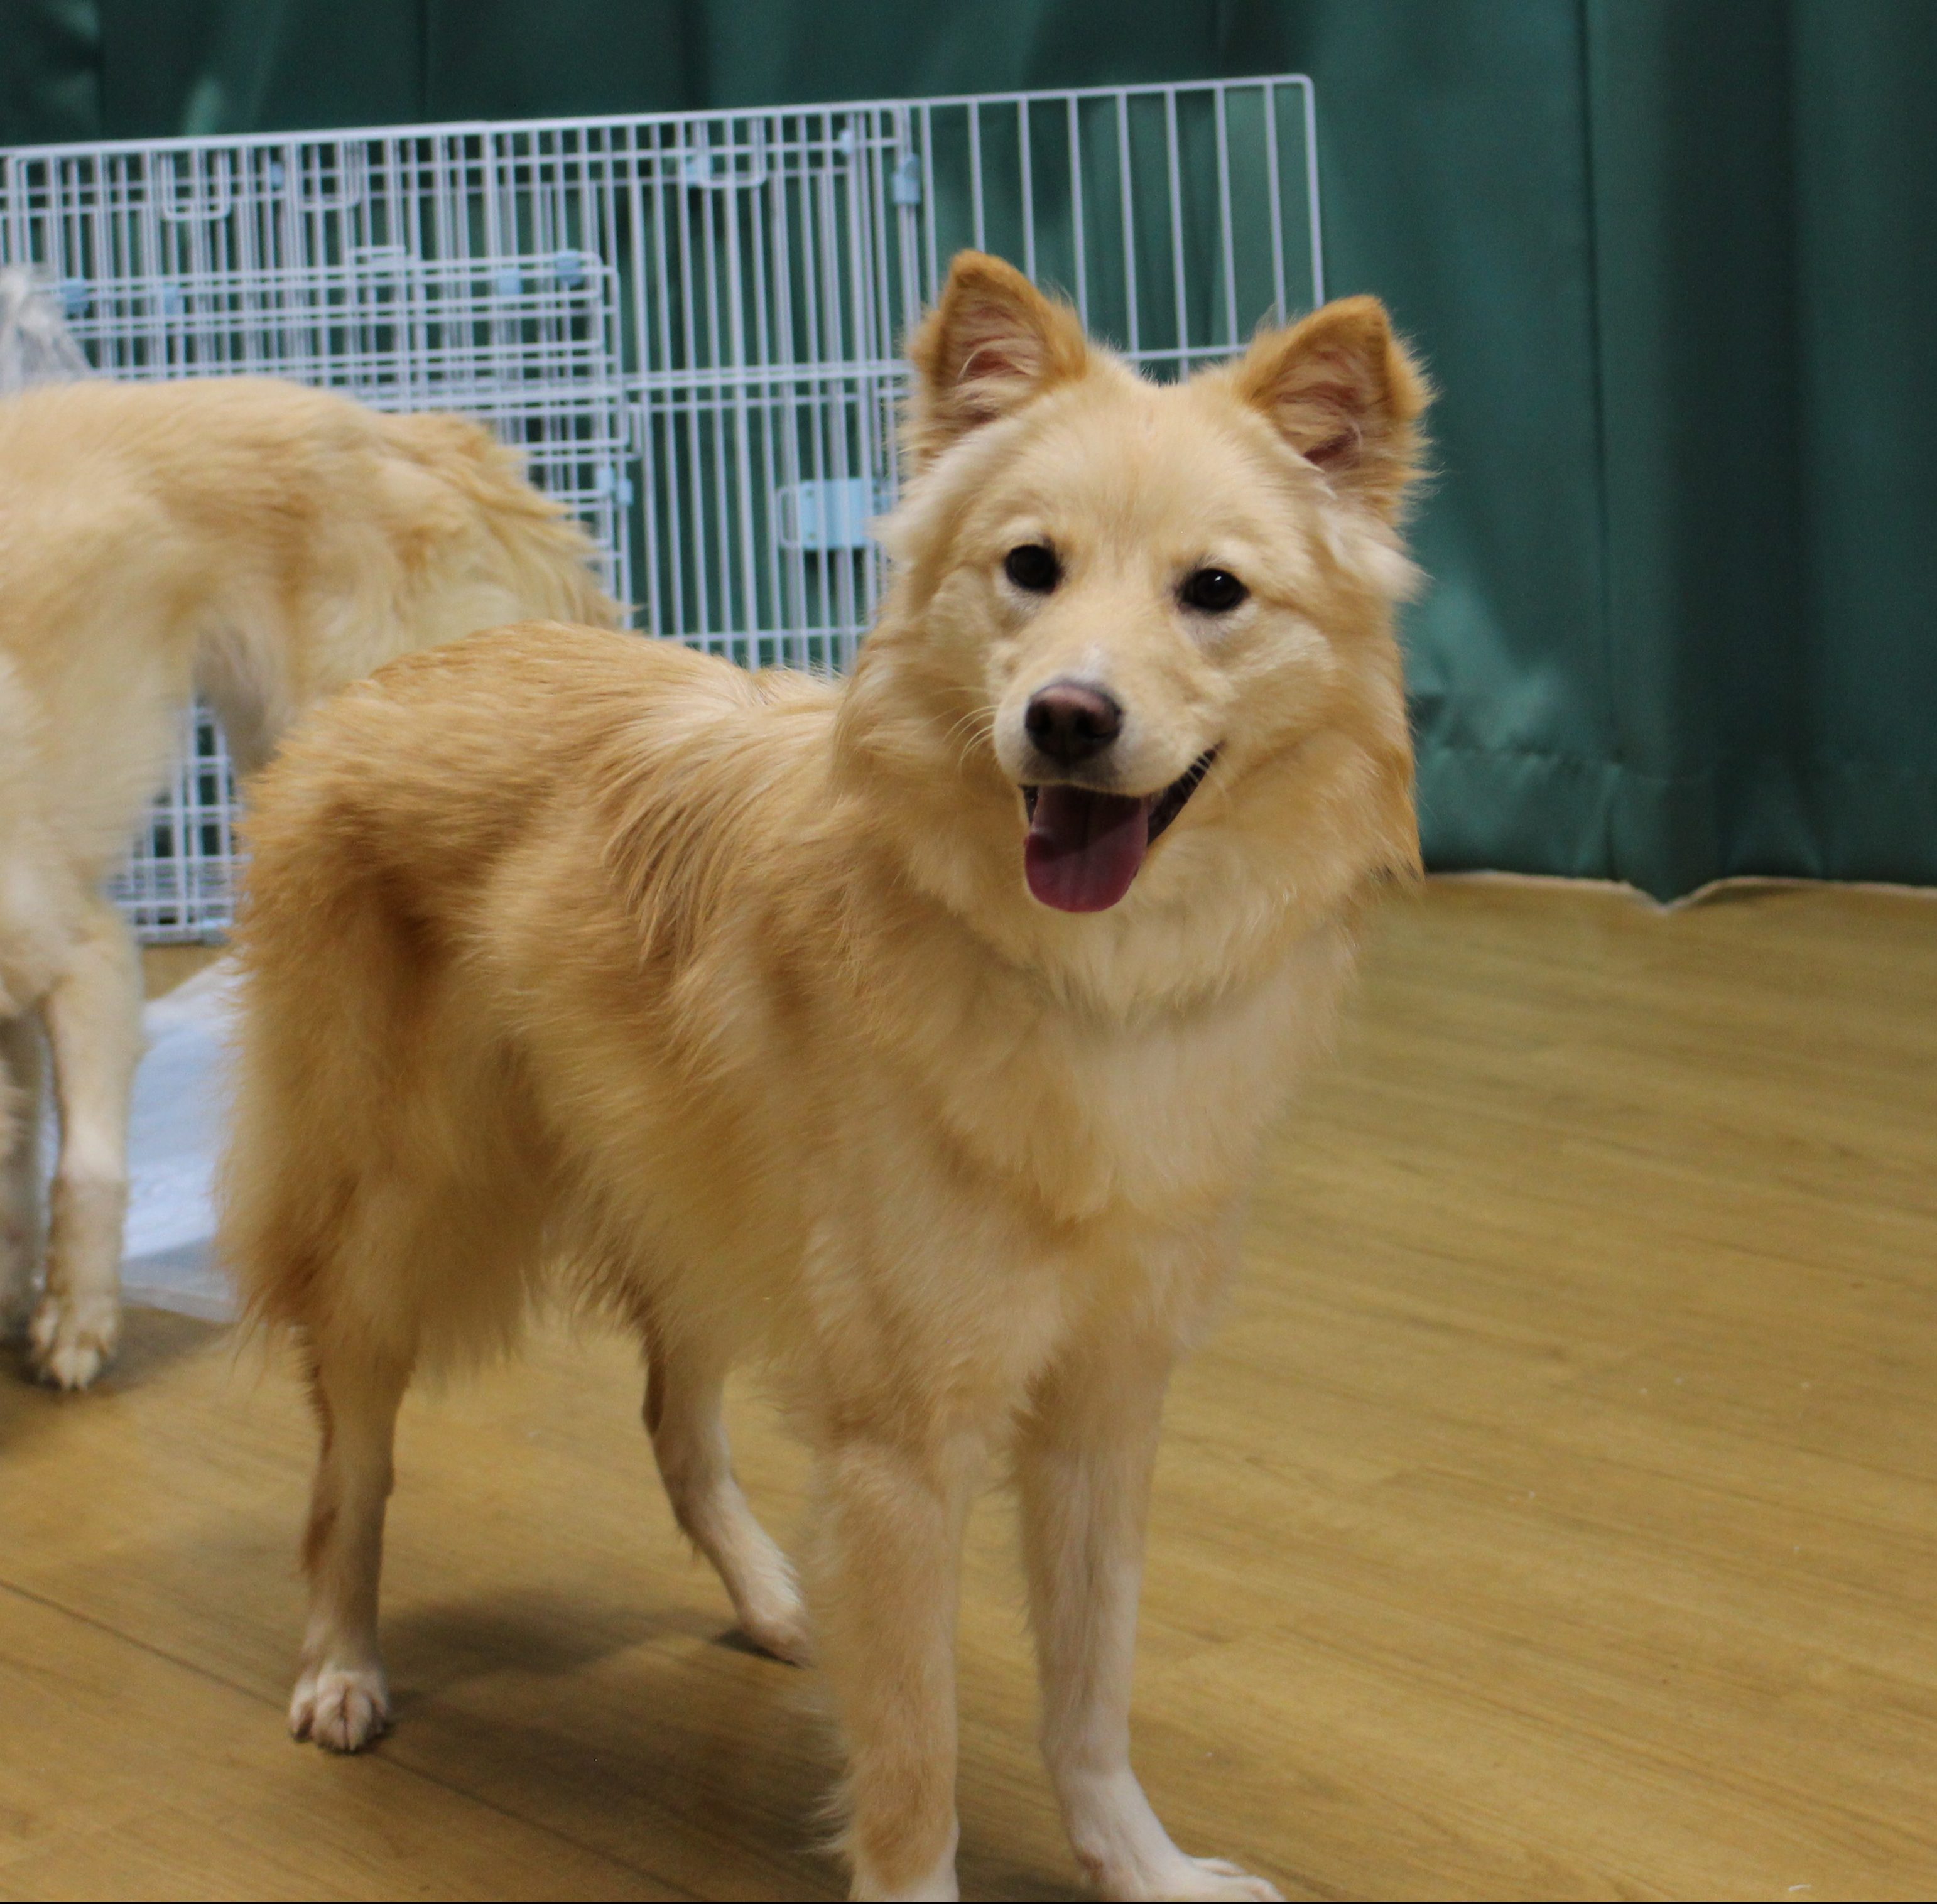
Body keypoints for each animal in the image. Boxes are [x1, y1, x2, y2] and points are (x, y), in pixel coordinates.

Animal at [226, 257, 1433, 1904]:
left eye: (1214, 594)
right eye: (1030, 568)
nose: (1067, 716)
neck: (1077, 973)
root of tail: (403, 673)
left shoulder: (1103, 1406)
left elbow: (1088, 1694)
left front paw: (1145, 1869)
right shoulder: (904, 1448)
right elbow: (915, 1763)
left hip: (691, 1212)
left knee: (674, 1424)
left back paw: (776, 1596)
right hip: (397, 1219)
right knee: (349, 1464)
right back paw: (340, 1663)